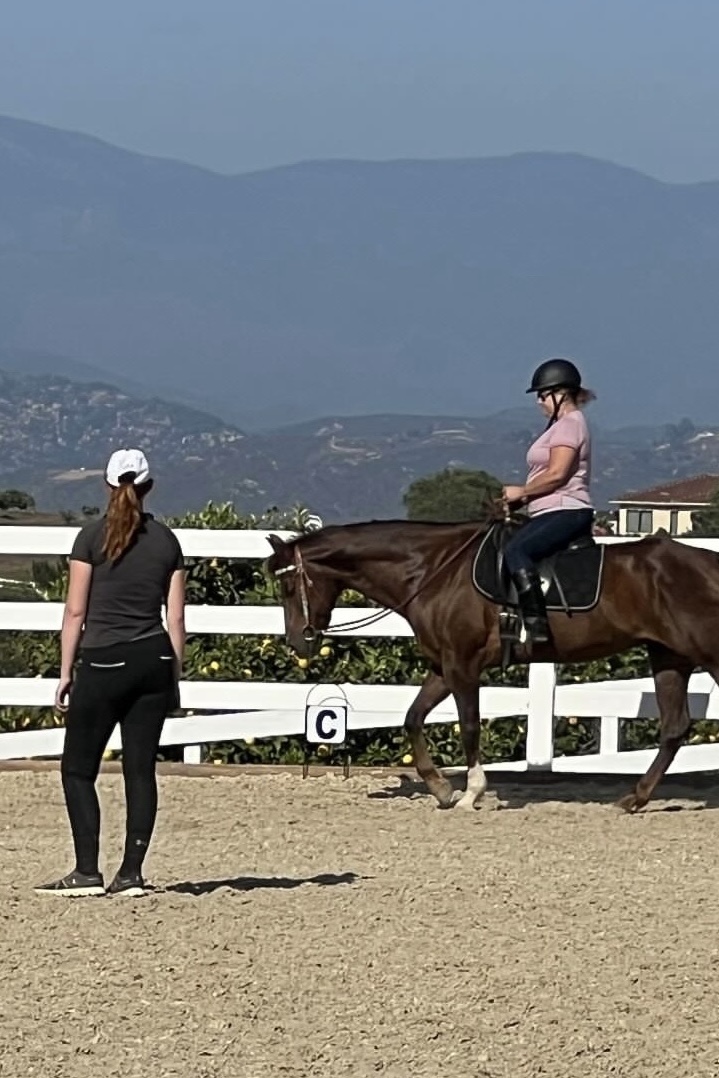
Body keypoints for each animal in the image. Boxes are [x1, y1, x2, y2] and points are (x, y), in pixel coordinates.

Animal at [265, 515, 719, 812]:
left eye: (287, 586)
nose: (298, 641)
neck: (433, 570)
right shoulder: (442, 666)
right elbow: (413, 718)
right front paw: (439, 788)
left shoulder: (463, 665)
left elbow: (468, 725)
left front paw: (470, 793)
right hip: (669, 657)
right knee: (674, 727)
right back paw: (635, 798)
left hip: (705, 654)